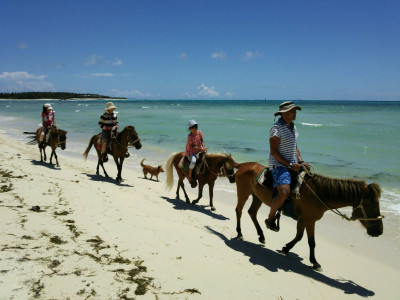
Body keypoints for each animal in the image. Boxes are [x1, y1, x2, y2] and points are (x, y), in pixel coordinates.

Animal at [236, 163, 382, 270]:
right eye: (371, 205)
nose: (379, 231)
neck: (318, 193)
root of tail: (244, 165)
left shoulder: (303, 219)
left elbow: (299, 236)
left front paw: (286, 248)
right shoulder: (310, 220)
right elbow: (312, 242)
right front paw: (315, 262)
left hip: (257, 197)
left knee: (252, 213)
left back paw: (261, 236)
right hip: (243, 193)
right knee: (239, 211)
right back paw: (240, 233)